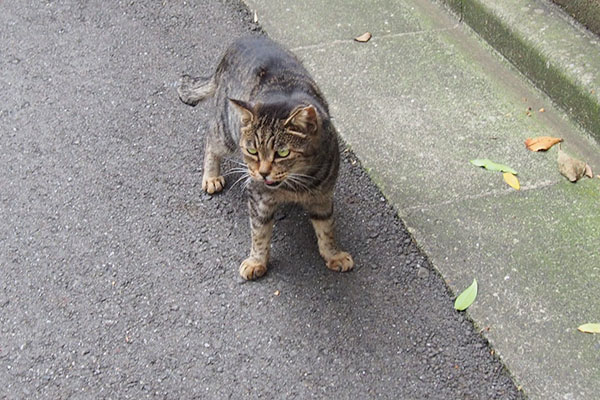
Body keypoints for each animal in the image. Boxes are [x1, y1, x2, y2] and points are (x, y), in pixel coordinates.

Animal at [177, 36, 352, 282]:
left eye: (283, 153)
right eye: (252, 151)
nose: (262, 172)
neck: (295, 184)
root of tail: (240, 41)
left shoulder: (323, 196)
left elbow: (326, 228)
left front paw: (333, 254)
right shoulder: (258, 197)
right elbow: (259, 233)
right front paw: (257, 261)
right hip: (226, 131)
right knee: (211, 139)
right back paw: (211, 176)